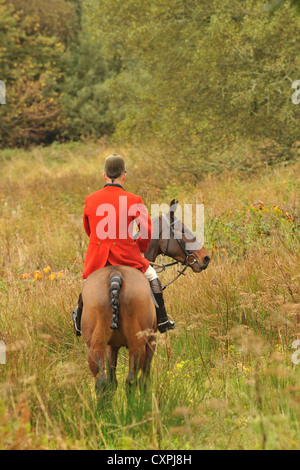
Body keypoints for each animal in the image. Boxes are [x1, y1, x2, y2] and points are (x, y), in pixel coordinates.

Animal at [81, 198, 210, 396]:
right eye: (182, 230)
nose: (205, 258)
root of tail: (115, 277)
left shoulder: (111, 346)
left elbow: (112, 381)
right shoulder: (150, 342)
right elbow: (145, 378)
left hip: (95, 345)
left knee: (102, 383)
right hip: (137, 344)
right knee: (131, 381)